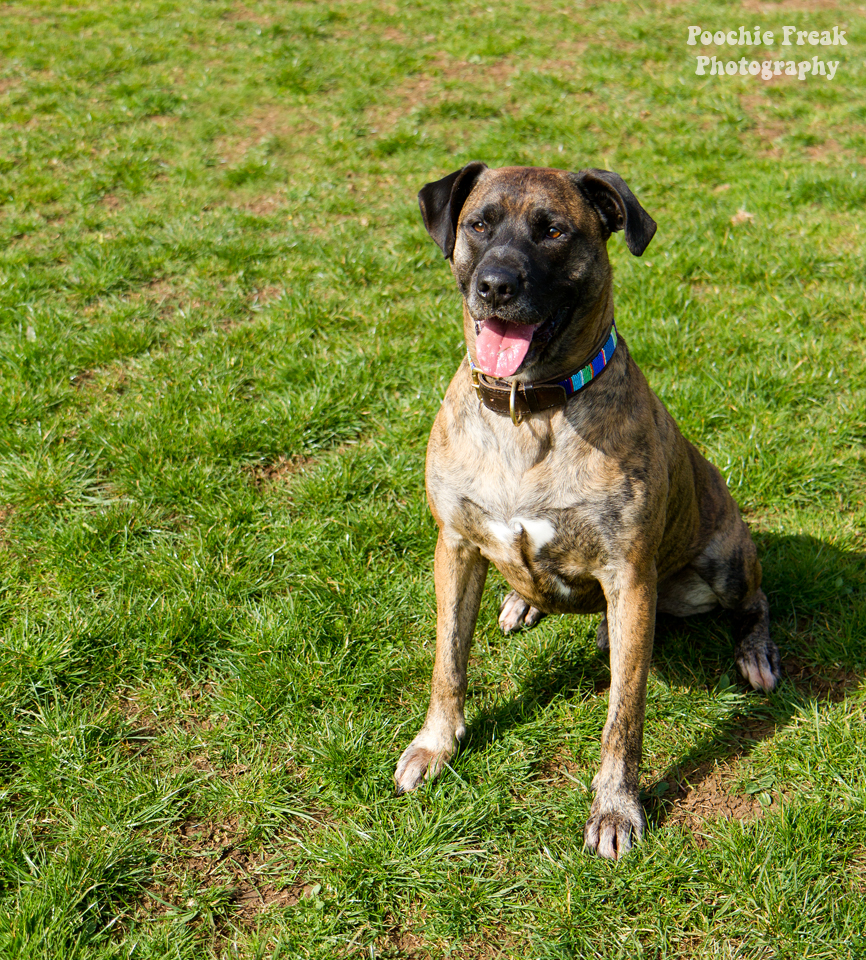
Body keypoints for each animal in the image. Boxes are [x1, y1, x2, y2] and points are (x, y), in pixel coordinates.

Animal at [394, 161, 780, 860]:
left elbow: (624, 714)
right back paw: (521, 603)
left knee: (755, 601)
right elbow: (448, 662)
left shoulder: (629, 576)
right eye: (478, 224)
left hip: (724, 560)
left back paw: (756, 653)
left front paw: (616, 808)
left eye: (554, 232)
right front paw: (435, 745)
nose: (495, 285)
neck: (528, 411)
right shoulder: (455, 546)